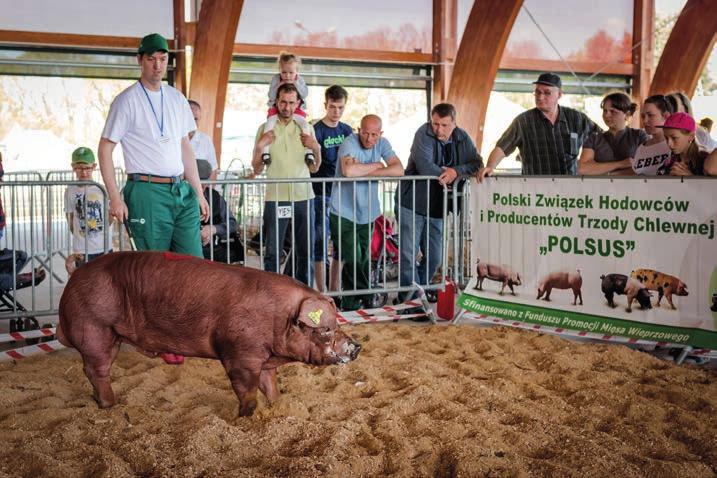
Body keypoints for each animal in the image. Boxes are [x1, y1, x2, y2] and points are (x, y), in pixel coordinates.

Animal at [56, 252, 360, 416]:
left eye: (337, 323)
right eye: (326, 329)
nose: (356, 347)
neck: (278, 316)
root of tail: (76, 273)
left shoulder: (263, 357)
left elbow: (270, 385)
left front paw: (277, 407)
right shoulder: (240, 354)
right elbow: (247, 391)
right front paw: (247, 417)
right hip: (94, 328)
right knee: (96, 370)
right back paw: (110, 405)